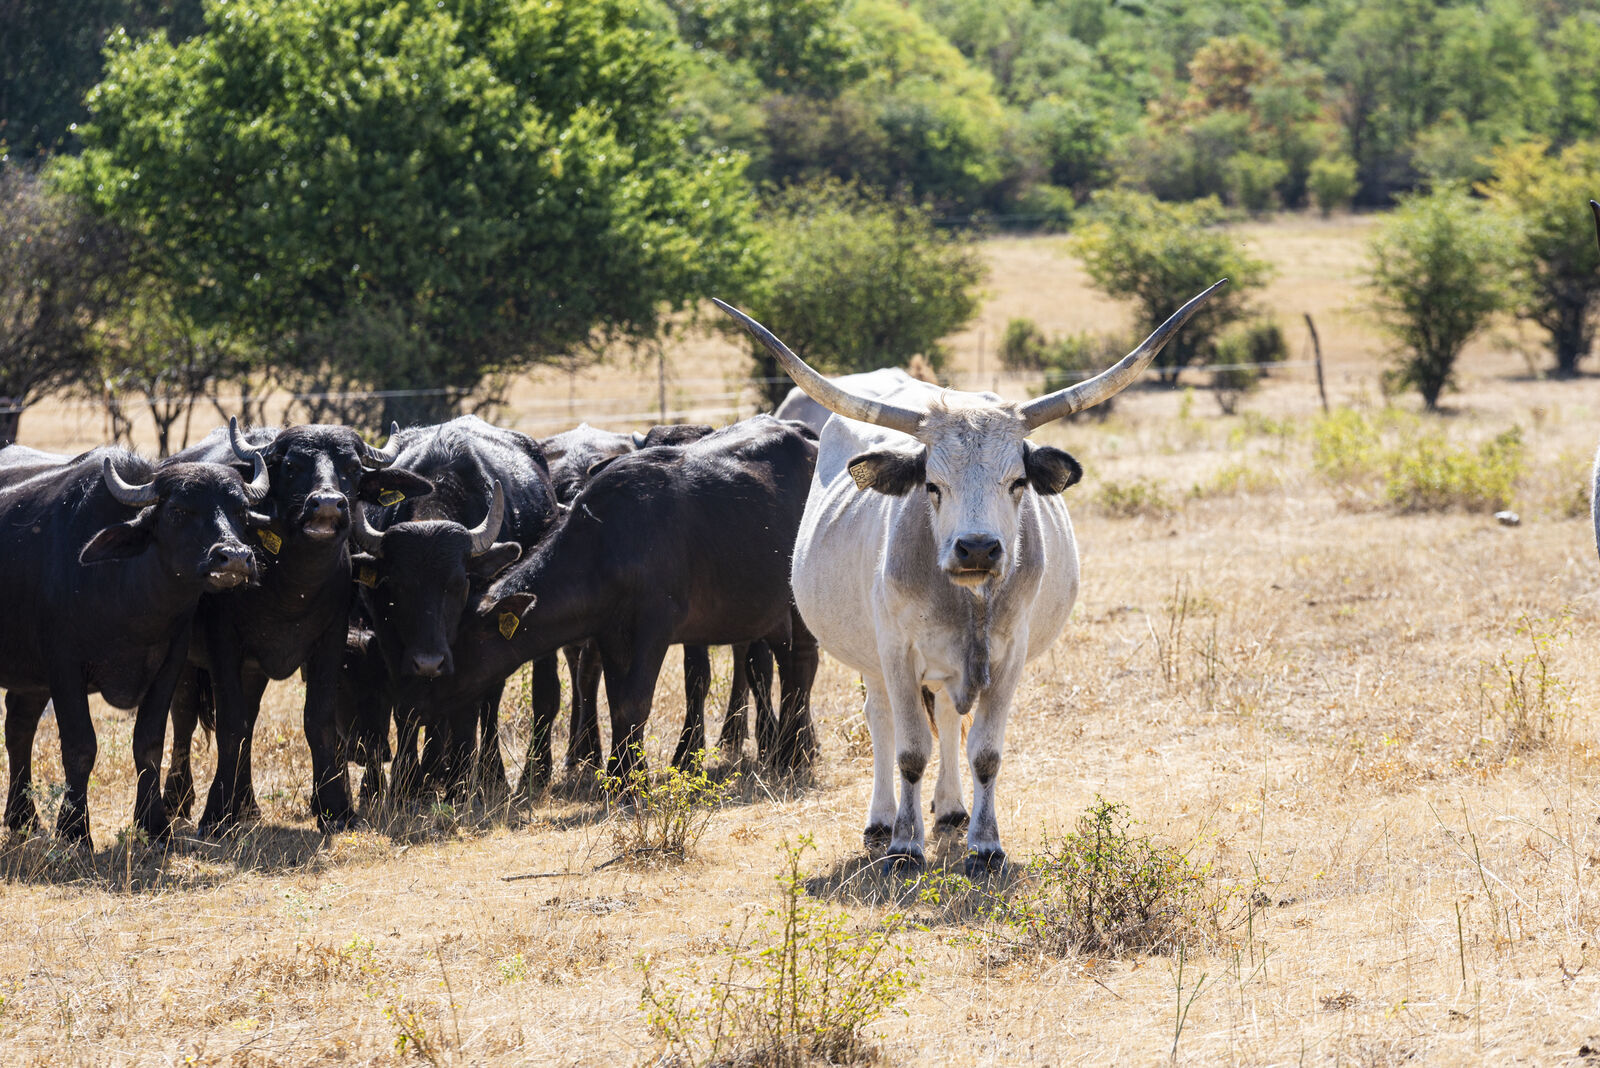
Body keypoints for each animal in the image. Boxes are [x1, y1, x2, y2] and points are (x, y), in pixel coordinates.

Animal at [0, 441, 268, 844]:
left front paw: (154, 824)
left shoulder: (169, 663)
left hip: (30, 678)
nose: (234, 558)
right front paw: (74, 830)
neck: (130, 602)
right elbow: (80, 745)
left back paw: (23, 818)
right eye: (178, 511)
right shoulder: (64, 666)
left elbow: (149, 743)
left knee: (19, 727)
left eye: (240, 512)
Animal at [160, 418, 432, 831]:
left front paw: (336, 808)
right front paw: (217, 812)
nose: (327, 504)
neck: (290, 587)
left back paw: (248, 805)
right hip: (189, 662)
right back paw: (179, 800)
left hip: (252, 670)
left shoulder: (331, 638)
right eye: (291, 466)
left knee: (249, 718)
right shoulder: (224, 642)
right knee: (185, 717)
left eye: (353, 468)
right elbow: (229, 723)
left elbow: (316, 718)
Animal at [347, 415, 560, 799]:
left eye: (458, 583)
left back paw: (501, 774)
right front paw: (406, 783)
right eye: (396, 586)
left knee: (501, 702)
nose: (429, 662)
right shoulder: (391, 639)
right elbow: (407, 705)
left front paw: (460, 782)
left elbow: (471, 703)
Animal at [400, 412, 825, 780]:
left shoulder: (656, 626)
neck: (606, 545)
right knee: (784, 663)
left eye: (459, 647)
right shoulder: (609, 632)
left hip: (798, 605)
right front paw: (622, 772)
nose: (417, 698)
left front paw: (631, 779)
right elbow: (617, 698)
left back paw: (794, 753)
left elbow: (636, 699)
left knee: (801, 663)